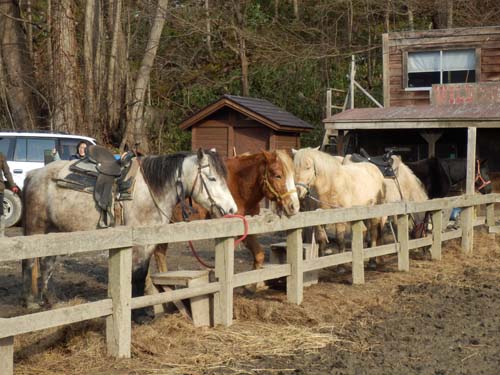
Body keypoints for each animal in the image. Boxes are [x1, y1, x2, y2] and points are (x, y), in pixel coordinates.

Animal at [21, 148, 236, 322]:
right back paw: (31, 302)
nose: (231, 209)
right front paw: (139, 315)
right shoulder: (139, 244)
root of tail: (33, 174)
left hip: (55, 233)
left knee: (47, 264)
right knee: (30, 263)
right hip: (35, 230)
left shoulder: (149, 244)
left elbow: (142, 274)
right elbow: (138, 276)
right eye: (212, 178)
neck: (151, 191)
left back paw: (52, 301)